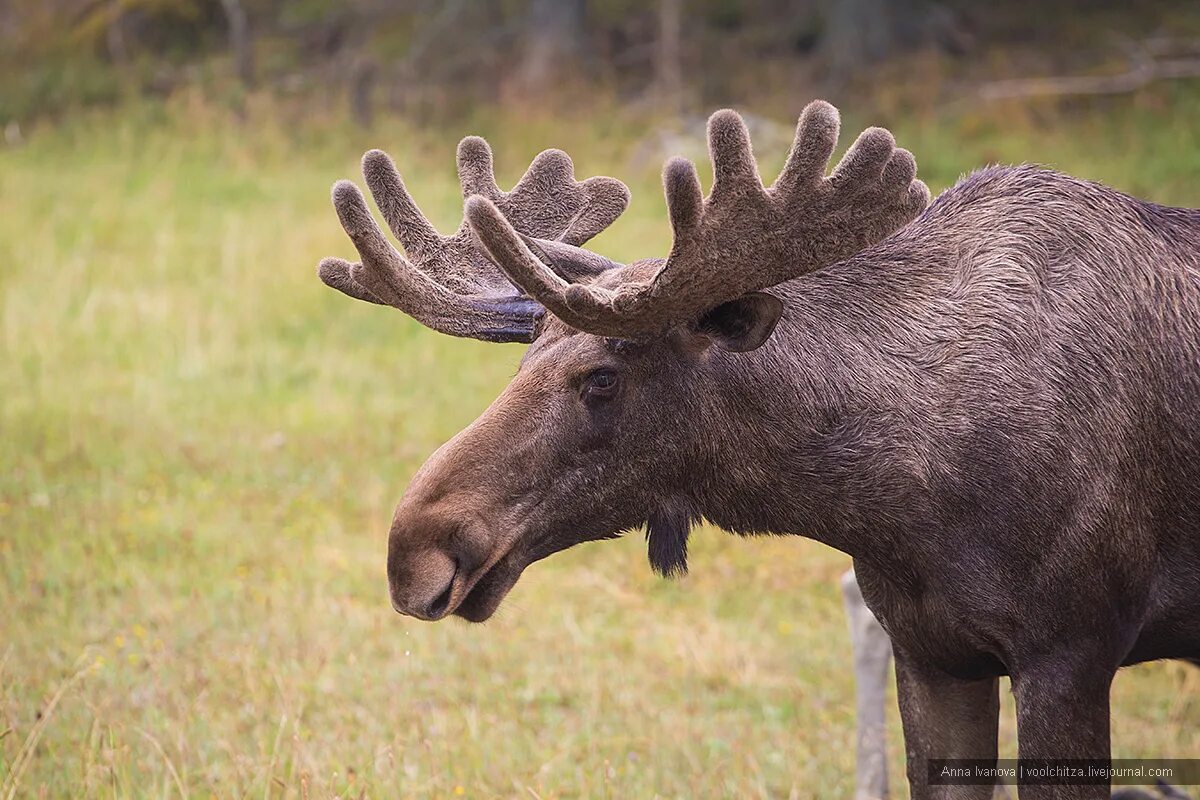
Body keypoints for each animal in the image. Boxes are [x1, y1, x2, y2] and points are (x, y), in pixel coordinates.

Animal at [319, 103, 1200, 796]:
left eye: (602, 377)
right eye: (522, 360)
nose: (413, 548)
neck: (894, 504)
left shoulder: (1070, 652)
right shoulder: (933, 654)